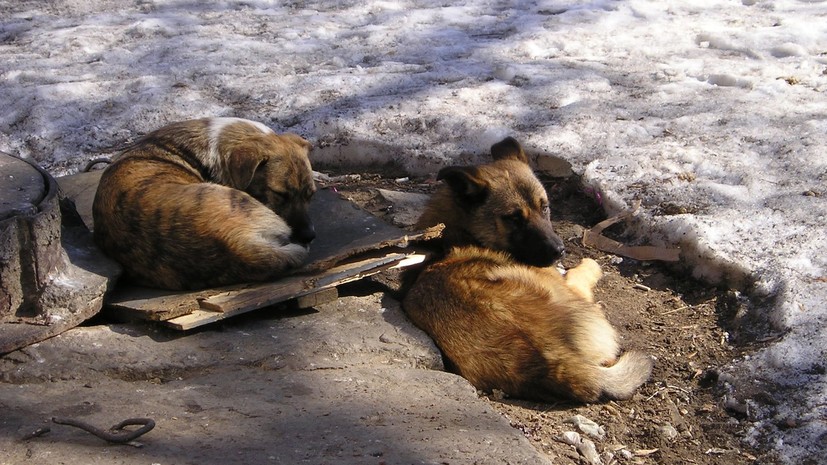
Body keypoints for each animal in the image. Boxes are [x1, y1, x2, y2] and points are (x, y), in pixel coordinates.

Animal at [402, 136, 652, 400]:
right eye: (514, 218)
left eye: (545, 207)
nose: (559, 250)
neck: (461, 234)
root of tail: (550, 361)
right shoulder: (571, 285)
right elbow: (579, 272)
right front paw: (588, 264)